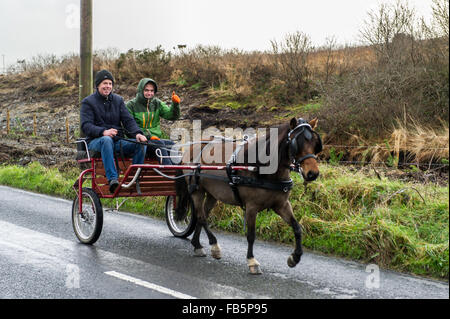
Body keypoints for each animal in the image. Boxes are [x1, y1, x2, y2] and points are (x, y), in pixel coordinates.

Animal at [174, 117, 322, 276]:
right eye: (297, 143)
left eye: (315, 143)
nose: (313, 173)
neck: (263, 168)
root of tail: (191, 147)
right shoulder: (252, 207)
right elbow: (251, 235)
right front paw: (252, 261)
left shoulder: (282, 205)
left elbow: (297, 228)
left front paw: (295, 257)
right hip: (197, 191)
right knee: (201, 217)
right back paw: (214, 245)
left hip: (213, 194)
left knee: (202, 216)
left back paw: (197, 245)